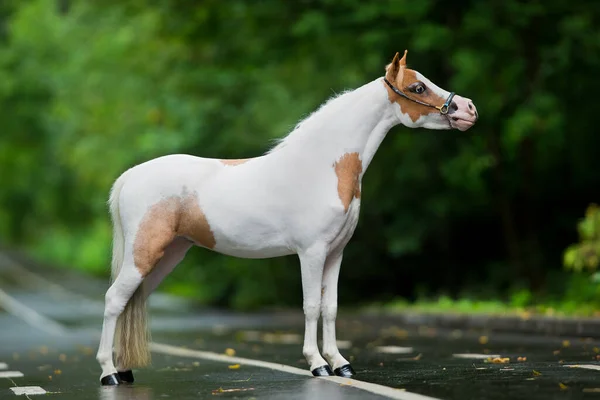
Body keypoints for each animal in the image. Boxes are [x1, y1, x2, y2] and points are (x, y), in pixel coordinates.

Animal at [96, 50, 476, 384]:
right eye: (417, 87)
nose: (468, 109)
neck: (321, 167)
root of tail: (129, 176)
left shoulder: (336, 253)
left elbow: (330, 307)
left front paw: (341, 364)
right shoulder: (311, 252)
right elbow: (310, 305)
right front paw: (318, 364)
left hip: (168, 255)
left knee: (132, 301)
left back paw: (125, 370)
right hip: (144, 254)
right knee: (115, 300)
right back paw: (109, 373)